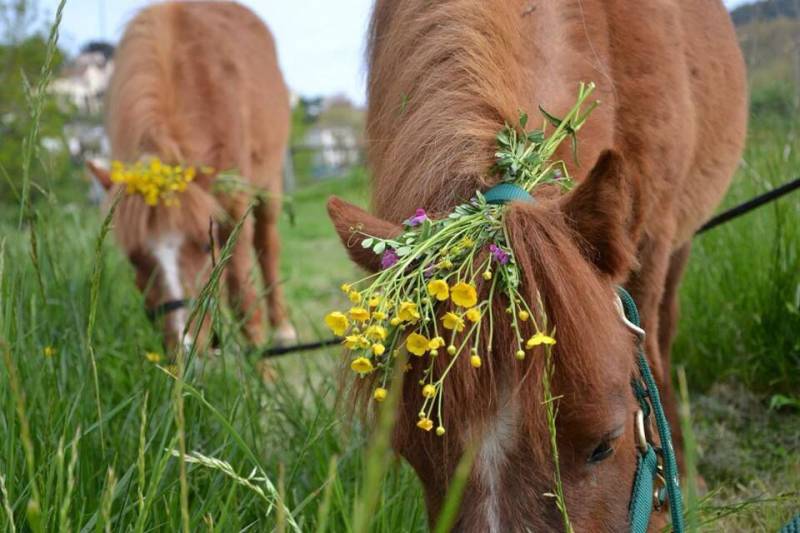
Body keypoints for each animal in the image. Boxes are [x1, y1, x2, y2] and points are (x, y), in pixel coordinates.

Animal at [90, 1, 296, 350]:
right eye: (134, 259)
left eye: (202, 245)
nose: (184, 347)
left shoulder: (233, 210)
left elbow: (242, 297)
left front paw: (260, 364)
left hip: (269, 186)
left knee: (268, 245)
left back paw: (282, 328)